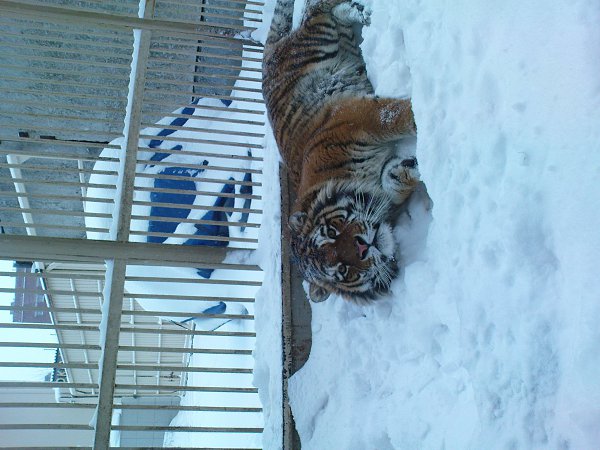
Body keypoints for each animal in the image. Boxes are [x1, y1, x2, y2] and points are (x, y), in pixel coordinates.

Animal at [262, 0, 420, 303]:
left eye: (331, 231)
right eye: (342, 271)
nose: (363, 247)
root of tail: (268, 58)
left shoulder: (357, 117)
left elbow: (396, 115)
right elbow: (396, 181)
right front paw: (408, 169)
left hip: (318, 39)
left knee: (315, 10)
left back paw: (360, 12)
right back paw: (357, 12)